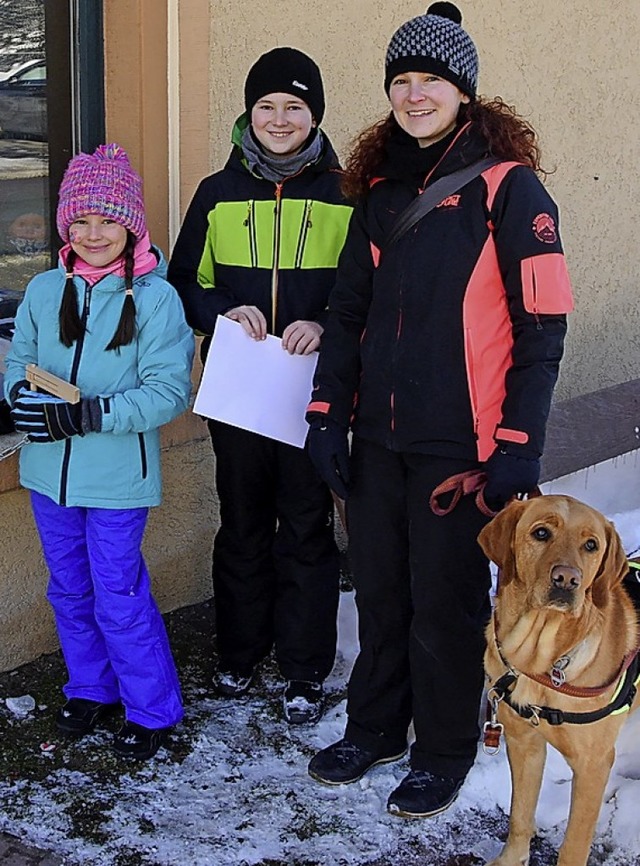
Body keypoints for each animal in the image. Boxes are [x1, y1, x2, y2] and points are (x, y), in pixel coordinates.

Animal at [480, 492, 640, 864]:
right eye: (541, 533)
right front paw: (512, 858)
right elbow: (520, 815)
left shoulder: (594, 764)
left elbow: (574, 844)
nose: (567, 579)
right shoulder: (523, 742)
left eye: (591, 545)